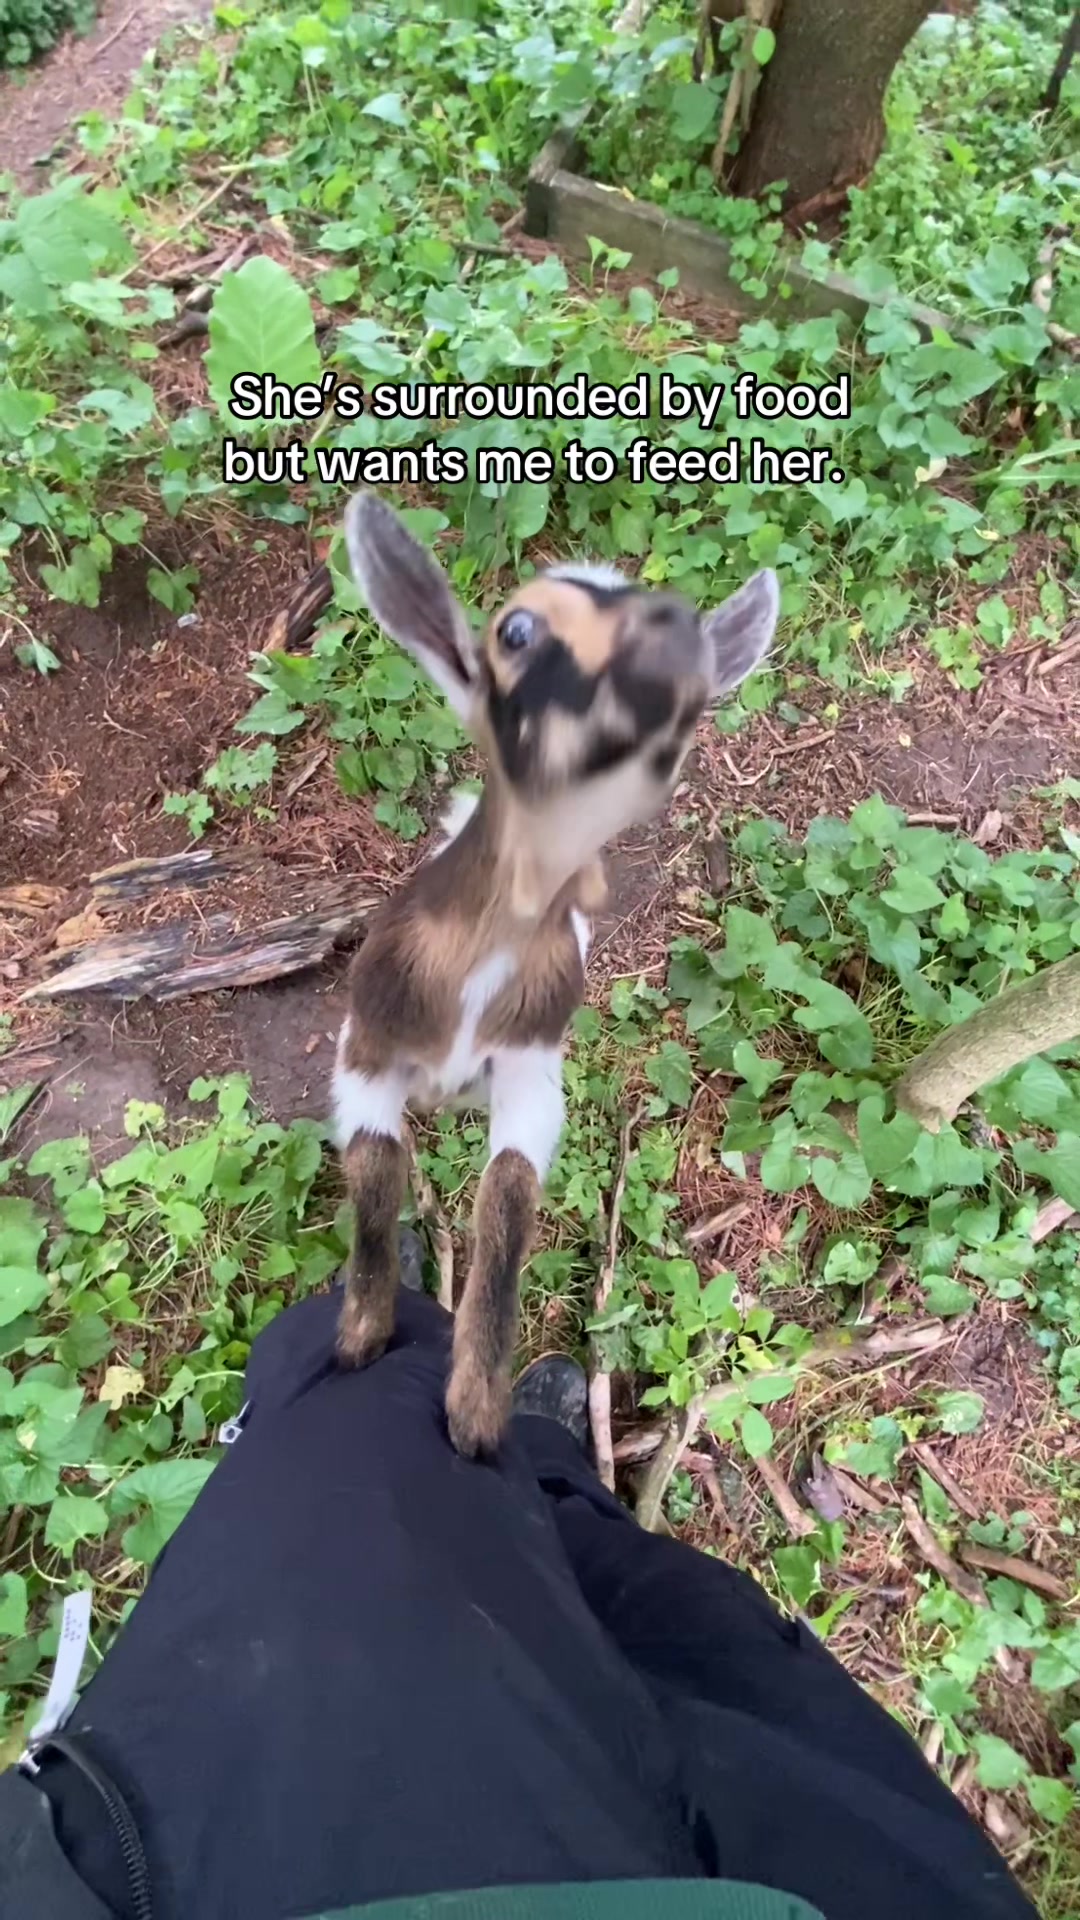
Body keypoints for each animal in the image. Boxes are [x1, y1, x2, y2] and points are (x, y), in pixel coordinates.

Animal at [331, 490, 779, 1459]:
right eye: (518, 629)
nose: (669, 646)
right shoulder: (366, 1047)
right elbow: (376, 1170)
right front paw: (360, 1335)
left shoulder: (533, 1068)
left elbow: (507, 1200)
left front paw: (476, 1410)